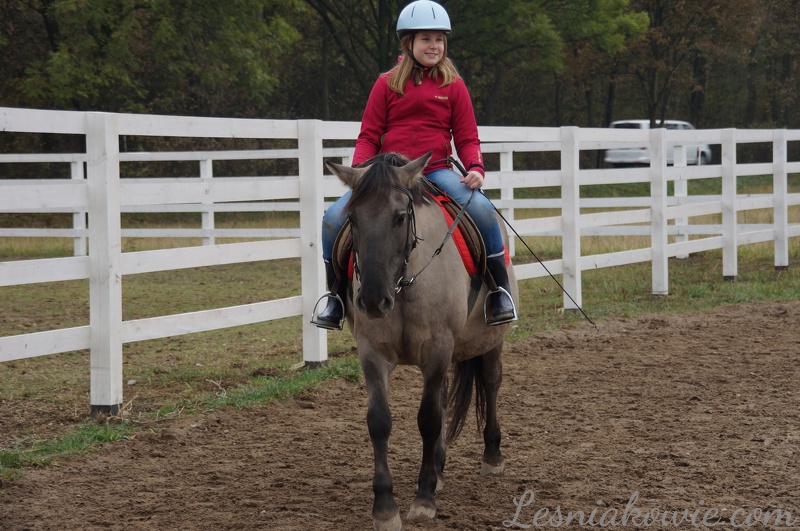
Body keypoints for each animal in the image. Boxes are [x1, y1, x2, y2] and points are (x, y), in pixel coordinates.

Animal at [324, 153, 520, 531]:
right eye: (351, 219)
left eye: (400, 217)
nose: (373, 300)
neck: (402, 283)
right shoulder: (372, 353)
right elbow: (380, 421)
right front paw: (385, 507)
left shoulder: (438, 348)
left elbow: (428, 419)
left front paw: (424, 497)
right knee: (443, 397)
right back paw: (439, 468)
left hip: (490, 341)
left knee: (490, 383)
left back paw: (492, 456)